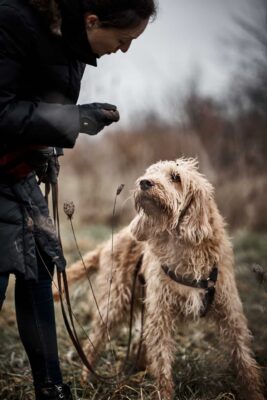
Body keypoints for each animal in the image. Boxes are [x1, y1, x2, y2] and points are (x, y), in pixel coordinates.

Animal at [57, 158, 264, 398]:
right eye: (150, 172)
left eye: (175, 177)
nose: (144, 182)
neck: (182, 245)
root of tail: (109, 242)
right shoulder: (161, 315)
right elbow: (163, 365)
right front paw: (163, 393)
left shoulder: (230, 312)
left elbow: (243, 359)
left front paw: (254, 392)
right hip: (115, 304)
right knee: (93, 343)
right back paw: (86, 380)